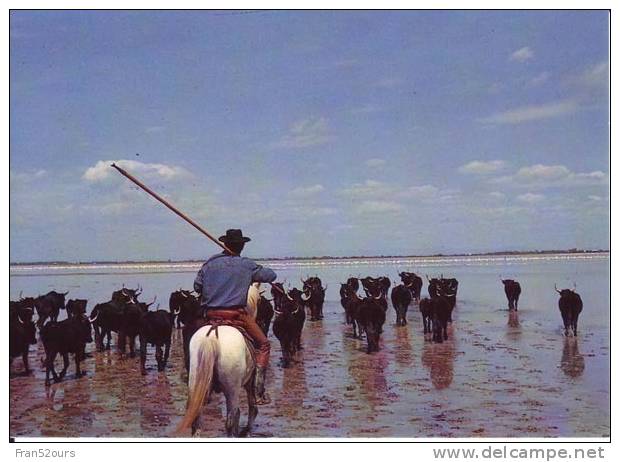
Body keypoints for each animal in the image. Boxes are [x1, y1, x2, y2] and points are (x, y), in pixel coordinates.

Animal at [174, 282, 262, 436]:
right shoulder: (249, 382)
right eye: (259, 300)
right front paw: (247, 431)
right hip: (232, 390)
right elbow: (252, 408)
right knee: (232, 418)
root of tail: (211, 338)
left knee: (197, 421)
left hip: (196, 383)